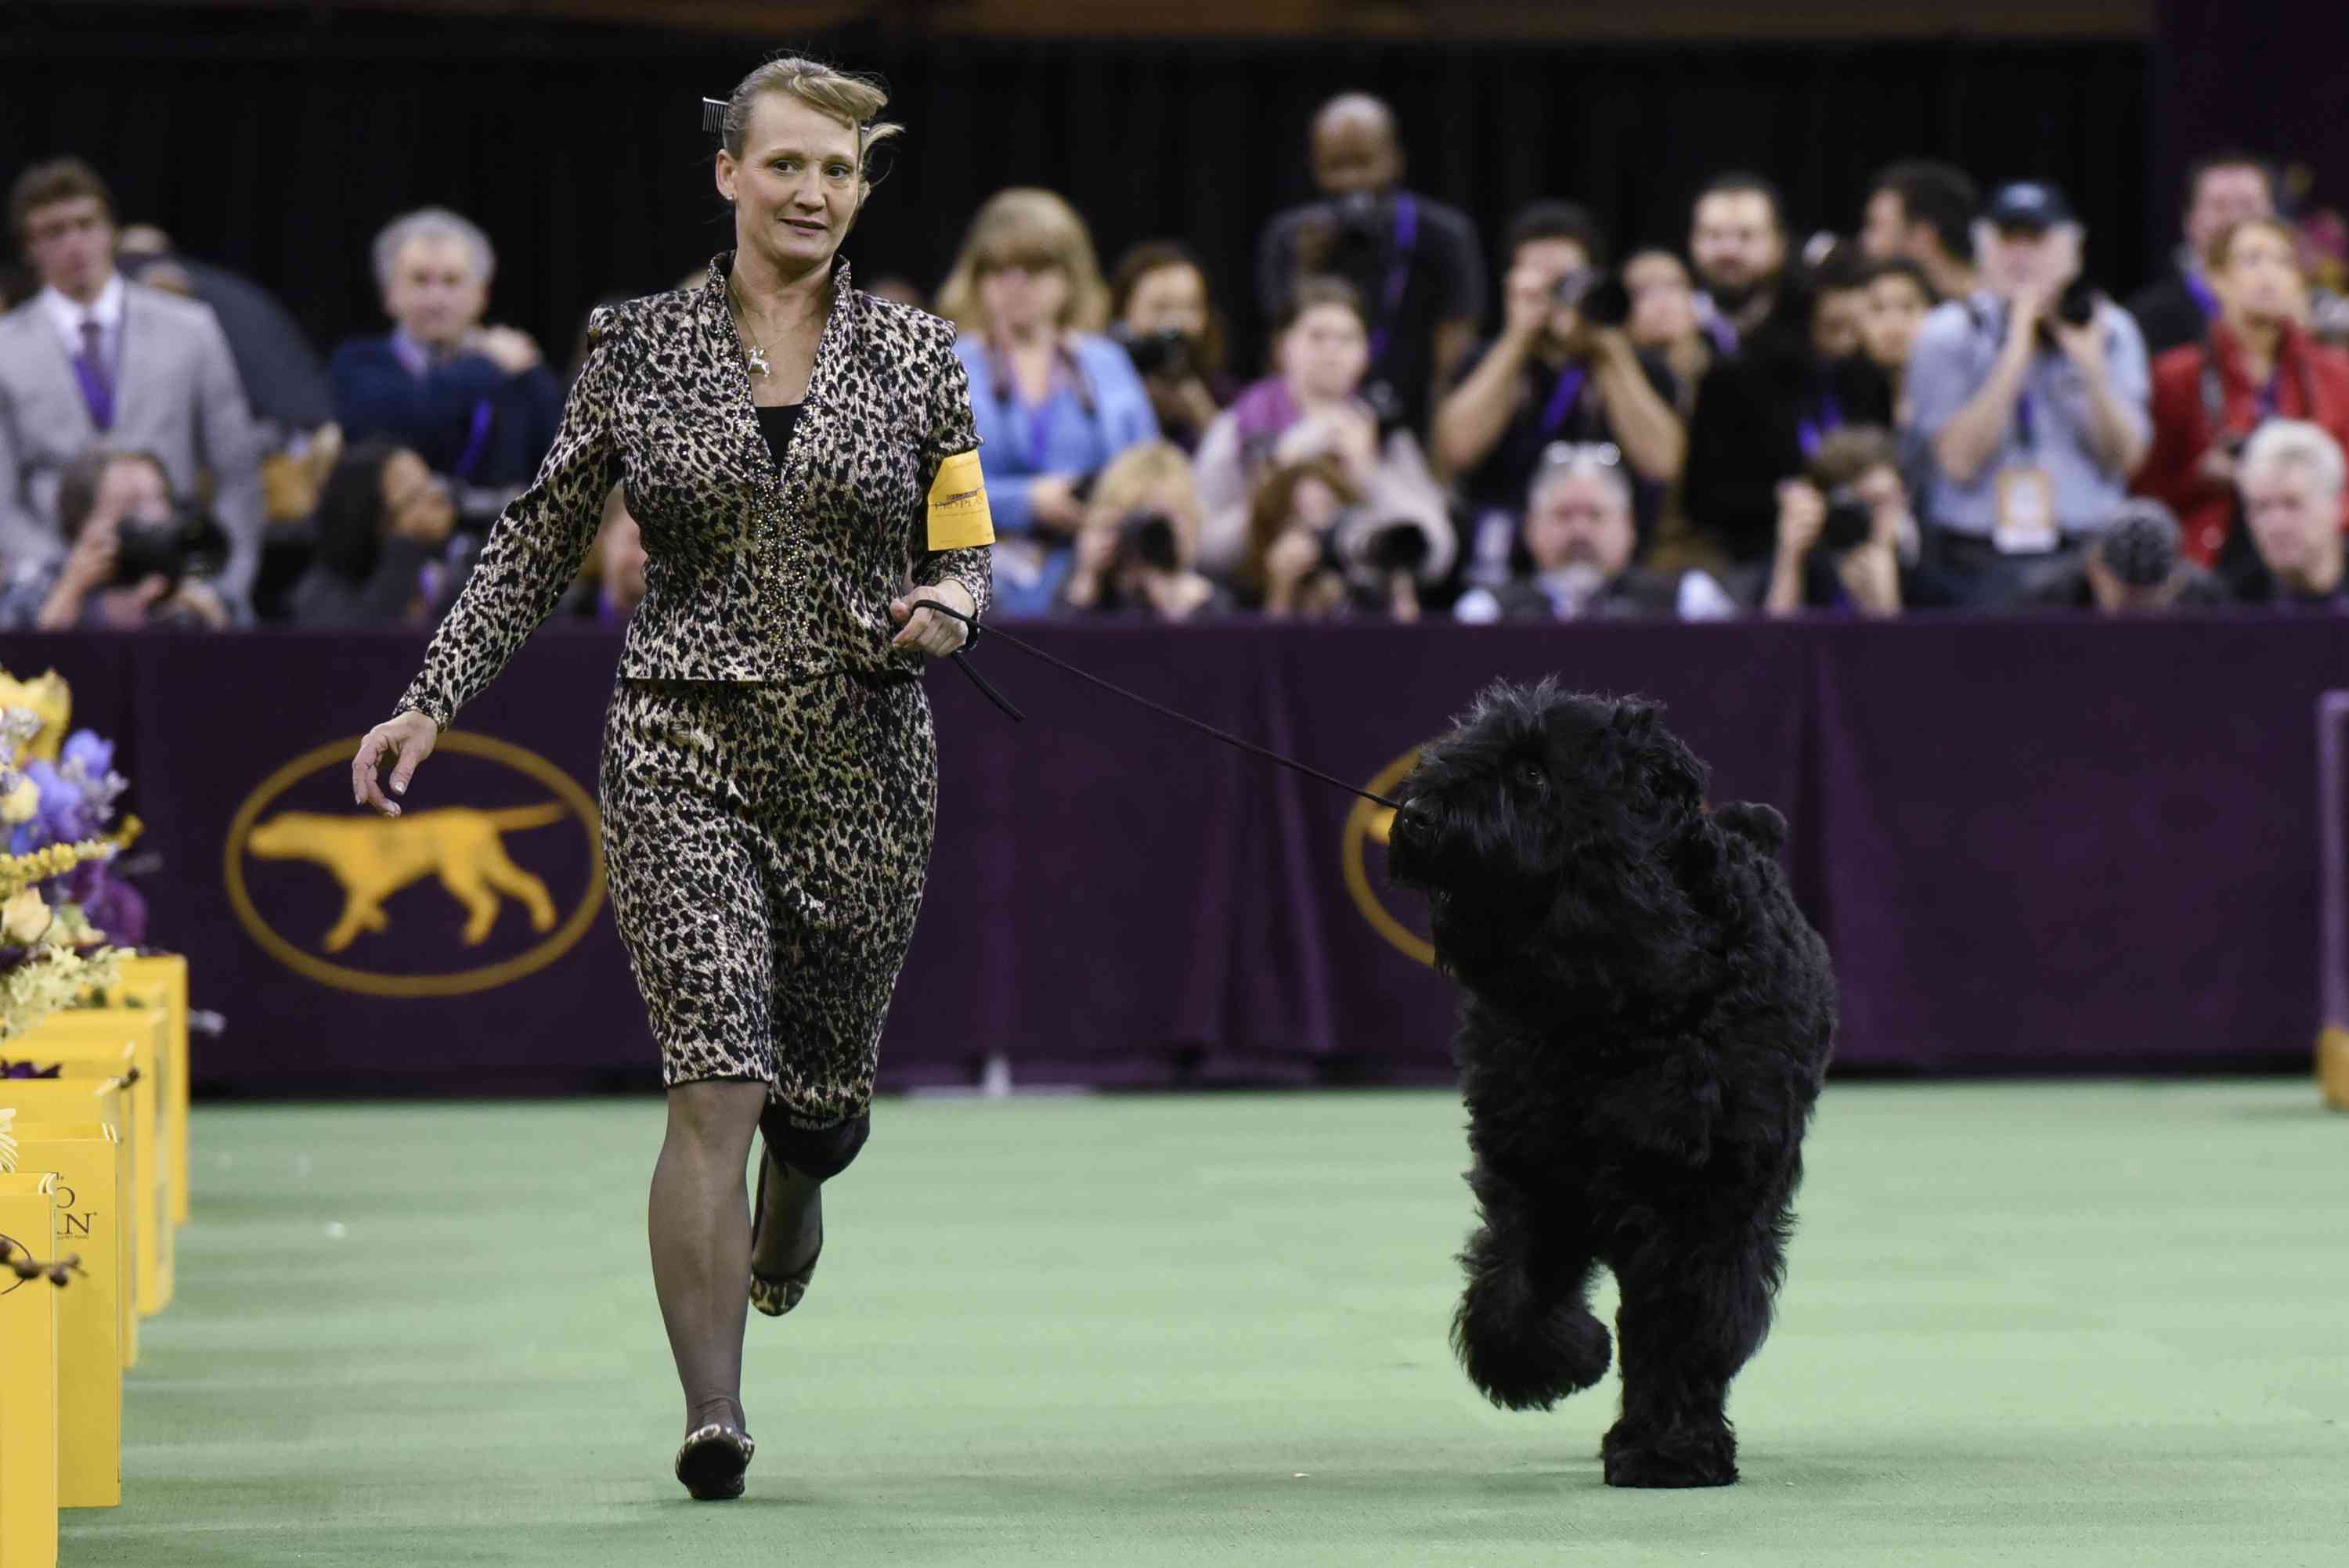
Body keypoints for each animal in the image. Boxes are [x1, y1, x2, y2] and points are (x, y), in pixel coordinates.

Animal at [1391, 680, 1832, 1483]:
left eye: (1533, 773)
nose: (1416, 815)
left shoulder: (1702, 1194)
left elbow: (1681, 1322)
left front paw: (1669, 1447)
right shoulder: (1536, 1170)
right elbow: (1514, 1284)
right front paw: (1561, 1359)